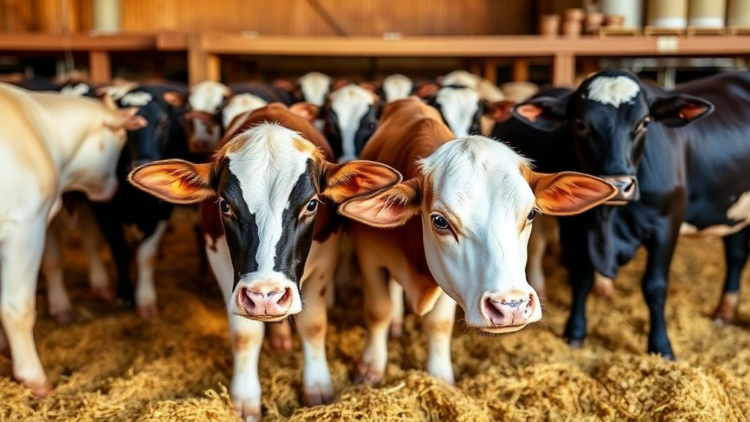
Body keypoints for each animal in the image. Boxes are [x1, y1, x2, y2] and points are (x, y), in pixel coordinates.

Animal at [128, 103, 401, 421]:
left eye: (311, 204)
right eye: (225, 205)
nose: (265, 296)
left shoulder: (325, 261)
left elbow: (313, 326)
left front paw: (317, 386)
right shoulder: (220, 261)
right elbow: (245, 335)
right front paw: (245, 398)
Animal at [340, 98, 616, 385]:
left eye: (531, 213)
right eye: (440, 221)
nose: (512, 306)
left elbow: (438, 324)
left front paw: (440, 377)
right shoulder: (369, 258)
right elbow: (378, 311)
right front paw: (370, 367)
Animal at [511, 70, 732, 359]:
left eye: (644, 123)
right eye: (581, 124)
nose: (619, 185)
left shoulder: (666, 225)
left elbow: (655, 286)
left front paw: (661, 346)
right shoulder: (574, 228)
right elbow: (580, 278)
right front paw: (575, 332)